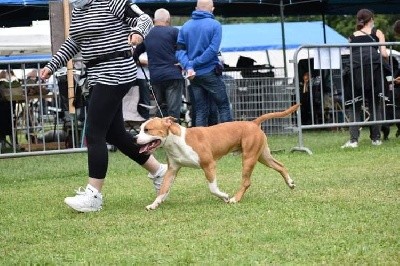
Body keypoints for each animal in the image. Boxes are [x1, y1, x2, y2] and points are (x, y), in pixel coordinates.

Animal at [136, 104, 298, 210]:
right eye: (140, 129)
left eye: (147, 130)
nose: (135, 138)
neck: (176, 140)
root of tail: (253, 123)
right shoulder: (172, 170)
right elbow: (163, 188)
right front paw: (154, 204)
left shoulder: (209, 165)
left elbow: (213, 188)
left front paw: (224, 196)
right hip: (262, 156)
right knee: (280, 166)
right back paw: (290, 183)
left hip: (249, 158)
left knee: (246, 182)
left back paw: (235, 199)